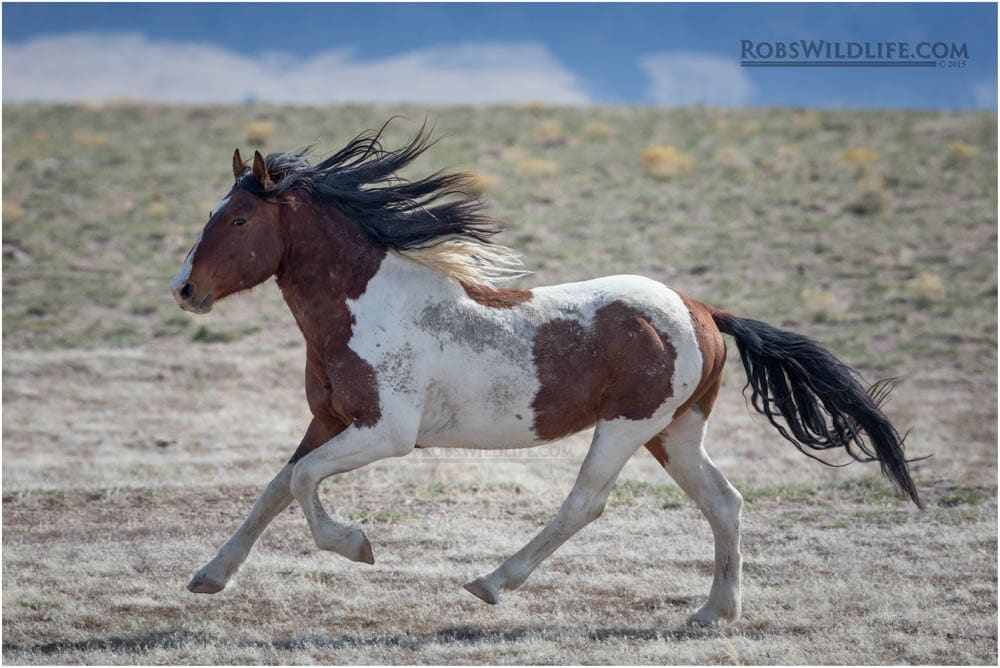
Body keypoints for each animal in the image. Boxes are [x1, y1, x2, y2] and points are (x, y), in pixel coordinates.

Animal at [171, 122, 923, 626]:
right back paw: (715, 612)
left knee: (585, 503)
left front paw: (357, 546)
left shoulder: (386, 433)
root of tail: (704, 311)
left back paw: (492, 582)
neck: (366, 303)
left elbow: (300, 482)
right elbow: (275, 487)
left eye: (237, 219)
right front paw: (210, 576)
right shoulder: (328, 419)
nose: (185, 289)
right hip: (675, 432)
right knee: (725, 502)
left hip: (627, 426)